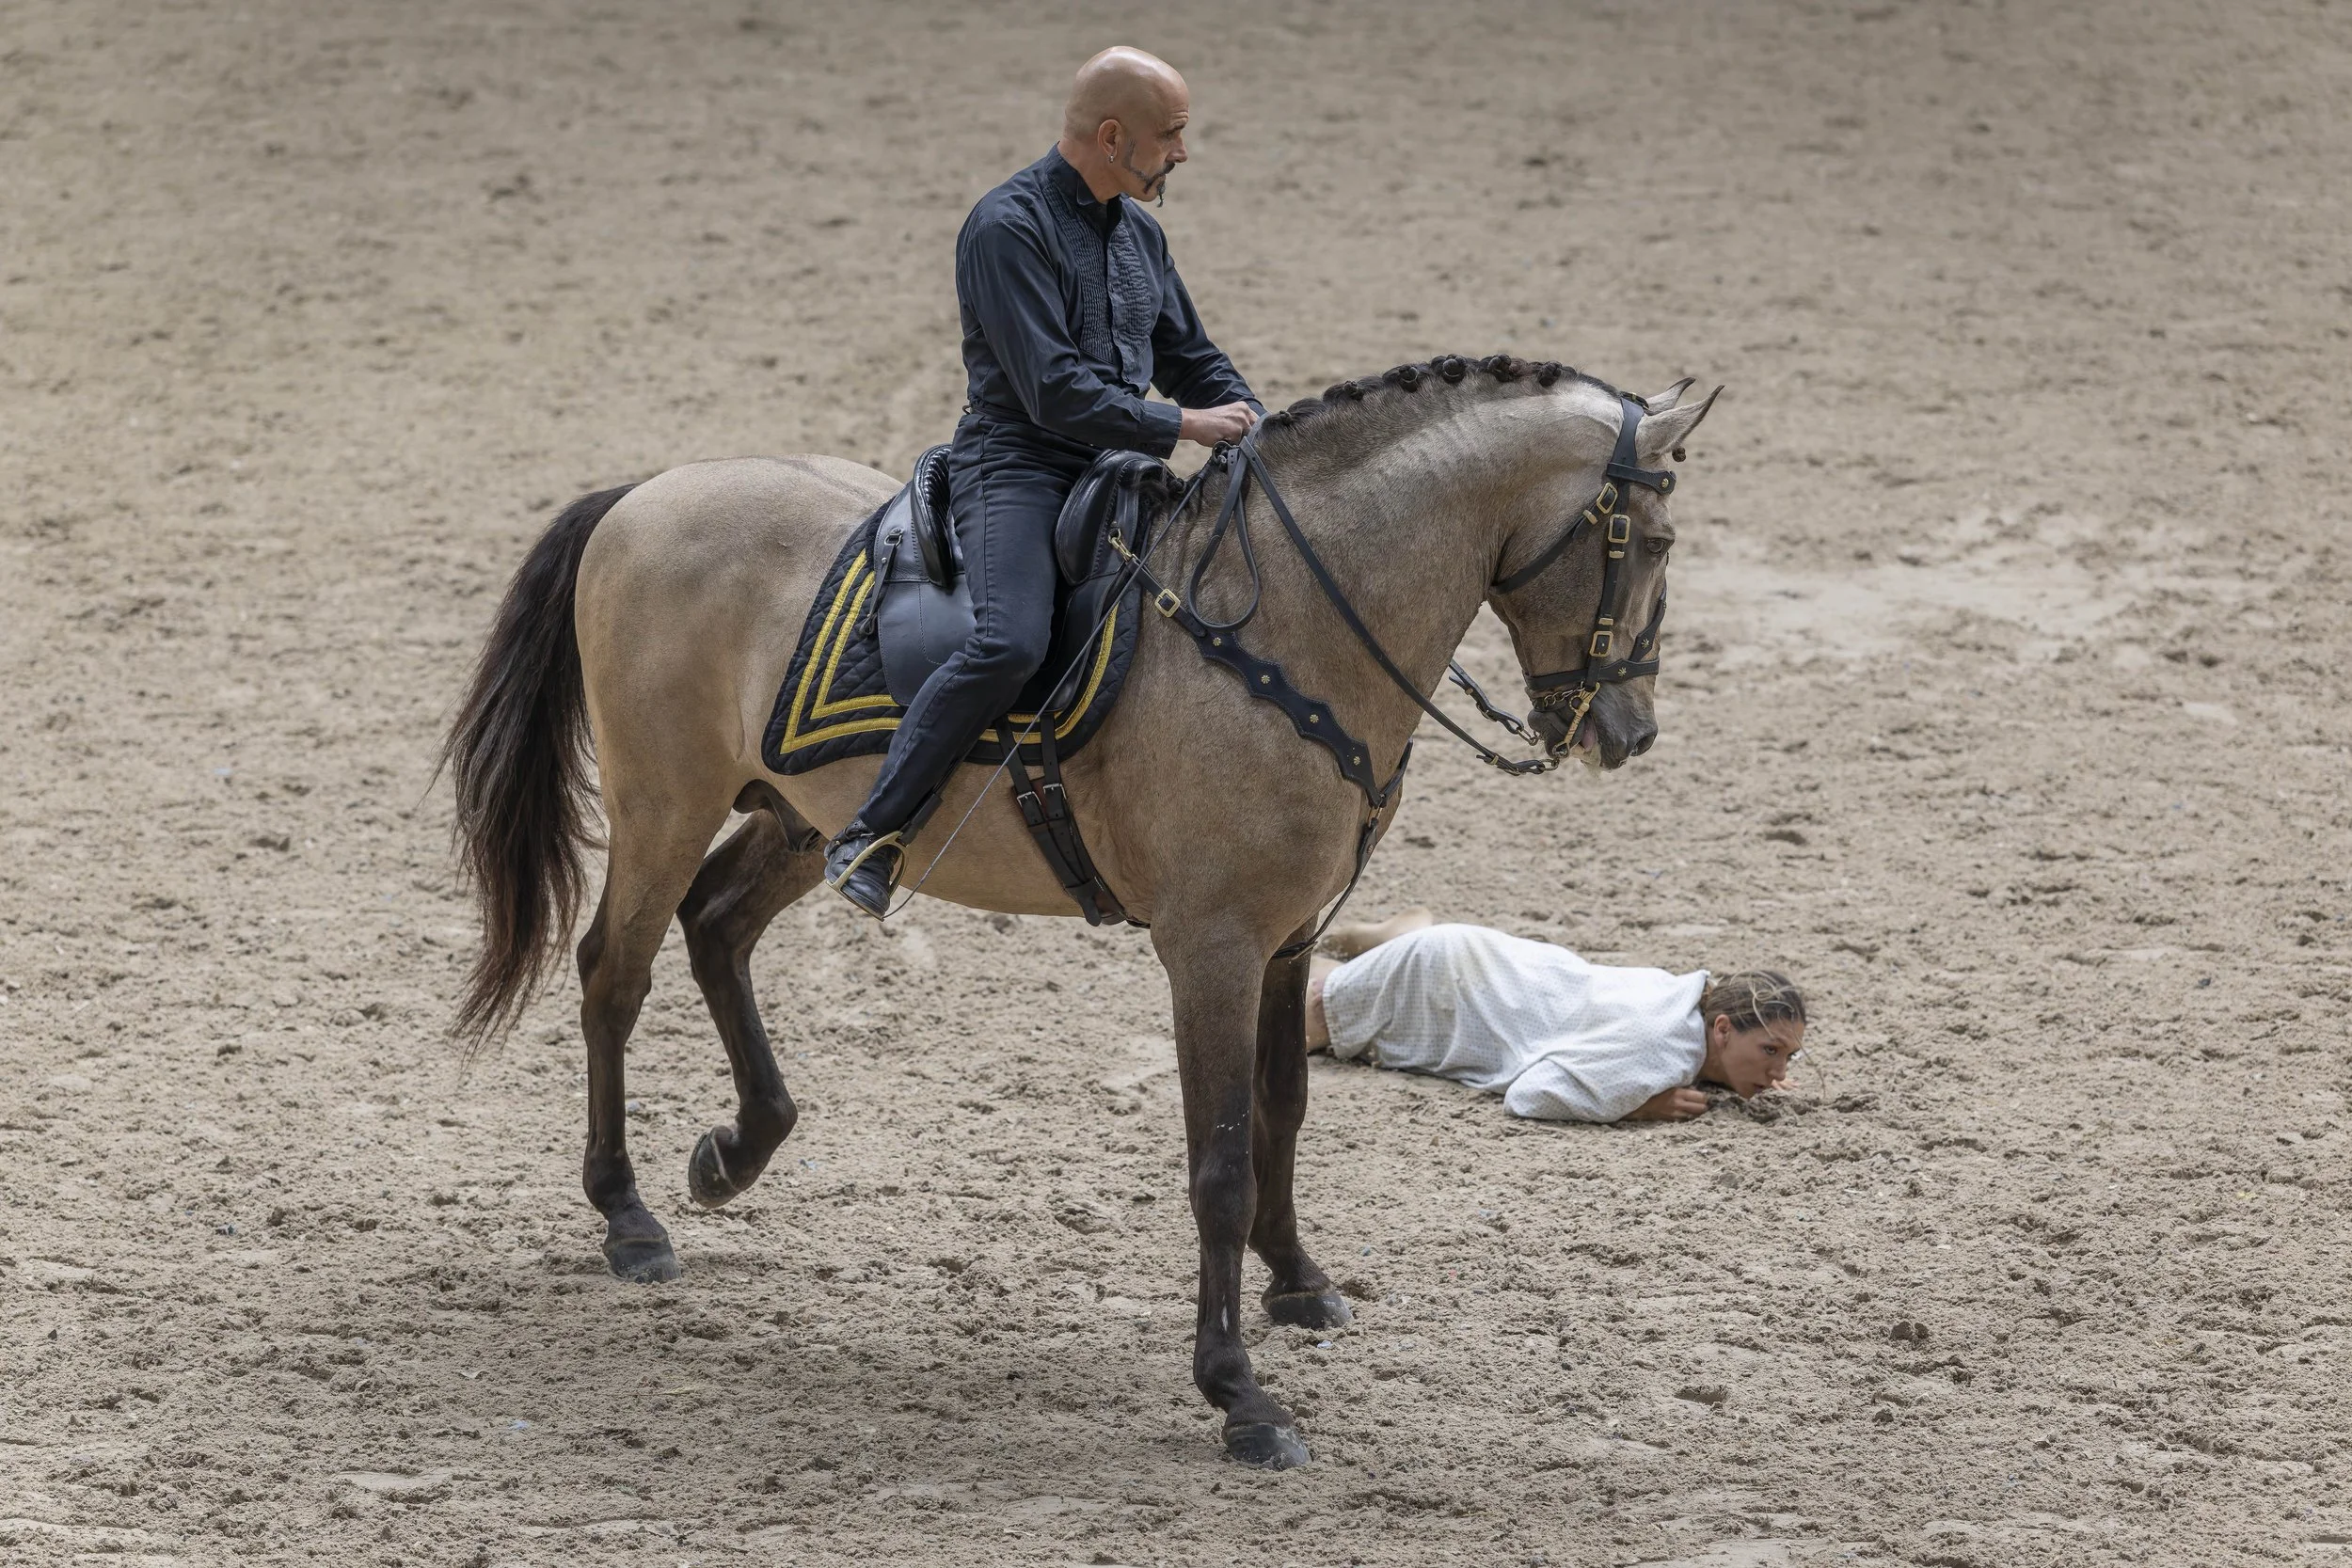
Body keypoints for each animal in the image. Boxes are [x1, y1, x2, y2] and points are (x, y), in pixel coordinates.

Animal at [441, 352, 1717, 1469]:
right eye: (1651, 542)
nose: (1630, 732)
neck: (1288, 627)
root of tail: (646, 492)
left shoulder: (1285, 939)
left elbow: (1285, 1112)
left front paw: (1299, 1281)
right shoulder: (1210, 947)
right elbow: (1220, 1159)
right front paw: (1239, 1394)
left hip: (804, 817)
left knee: (715, 926)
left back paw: (734, 1152)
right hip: (662, 801)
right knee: (616, 970)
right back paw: (629, 1216)